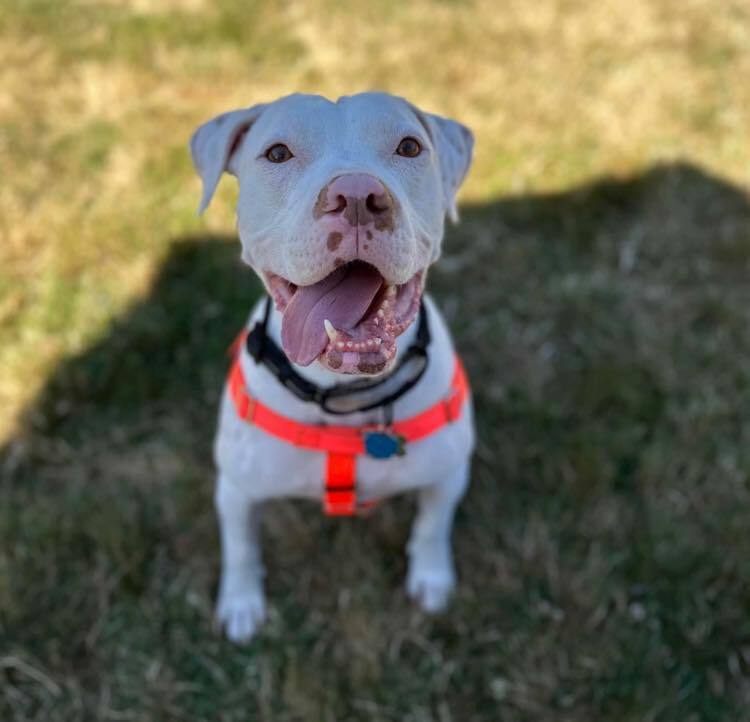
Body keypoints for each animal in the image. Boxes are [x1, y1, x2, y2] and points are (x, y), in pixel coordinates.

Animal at [191, 91, 478, 640]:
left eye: (409, 147)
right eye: (278, 154)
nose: (359, 195)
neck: (343, 396)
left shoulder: (448, 474)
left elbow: (432, 526)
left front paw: (432, 578)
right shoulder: (235, 490)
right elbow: (241, 548)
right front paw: (241, 604)